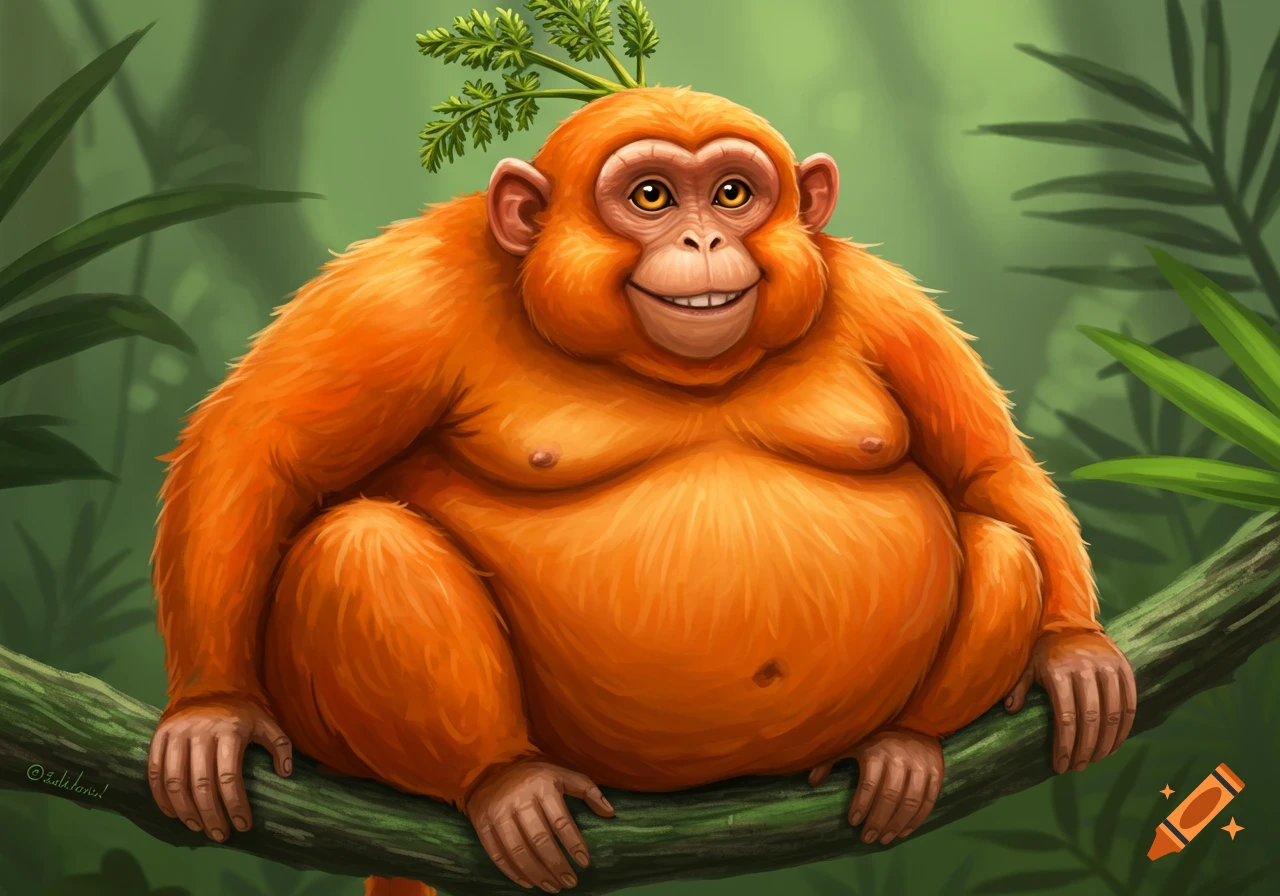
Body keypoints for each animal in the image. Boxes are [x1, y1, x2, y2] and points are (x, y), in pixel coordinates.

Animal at [147, 87, 1136, 896]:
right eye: (652, 197)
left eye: (733, 194)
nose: (705, 239)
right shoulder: (409, 288)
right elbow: (263, 448)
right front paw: (213, 711)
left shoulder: (877, 296)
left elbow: (987, 470)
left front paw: (1072, 649)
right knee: (361, 542)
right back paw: (503, 781)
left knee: (1000, 539)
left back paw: (901, 746)